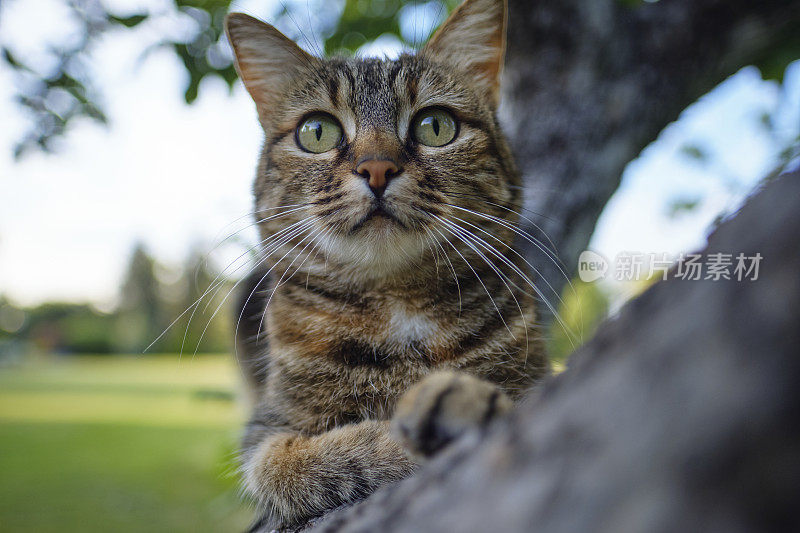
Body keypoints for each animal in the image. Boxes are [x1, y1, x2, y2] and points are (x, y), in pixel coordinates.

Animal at [225, 0, 552, 524]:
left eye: (435, 125)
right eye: (317, 131)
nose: (377, 167)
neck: (396, 304)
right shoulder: (266, 434)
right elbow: (301, 462)